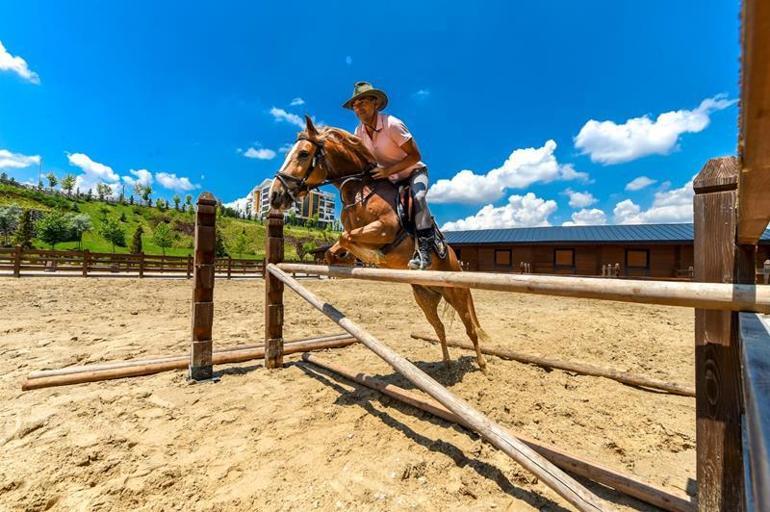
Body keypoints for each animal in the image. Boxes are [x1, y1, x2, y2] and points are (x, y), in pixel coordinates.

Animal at [270, 116, 486, 372]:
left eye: (303, 154)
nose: (274, 196)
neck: (359, 190)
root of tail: (457, 263)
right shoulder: (355, 232)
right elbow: (338, 246)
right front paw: (349, 260)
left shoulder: (384, 228)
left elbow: (347, 238)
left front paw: (374, 257)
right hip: (424, 298)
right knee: (439, 328)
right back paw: (445, 362)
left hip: (457, 294)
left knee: (470, 328)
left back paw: (482, 365)